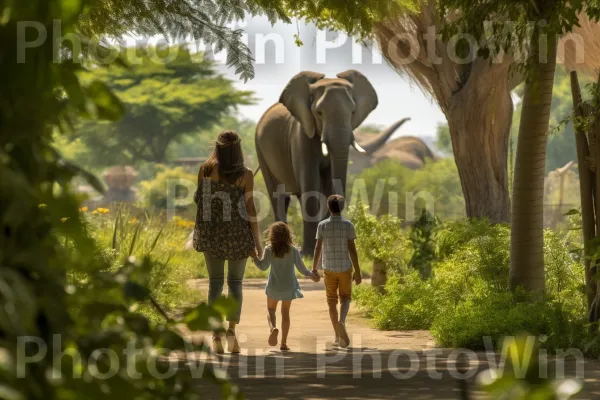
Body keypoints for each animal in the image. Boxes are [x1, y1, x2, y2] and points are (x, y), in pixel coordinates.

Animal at [255, 70, 410, 255]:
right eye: (319, 112)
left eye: (352, 112)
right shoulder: (301, 136)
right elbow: (310, 183)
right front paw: (308, 253)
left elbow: (328, 184)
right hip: (260, 149)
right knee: (278, 196)